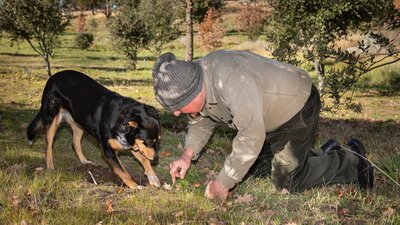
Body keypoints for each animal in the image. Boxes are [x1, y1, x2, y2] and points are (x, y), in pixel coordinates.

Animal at [26, 70, 161, 188]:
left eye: (158, 141)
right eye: (149, 141)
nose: (156, 161)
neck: (122, 120)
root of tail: (53, 76)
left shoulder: (132, 144)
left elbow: (144, 160)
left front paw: (153, 177)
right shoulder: (108, 151)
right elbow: (123, 172)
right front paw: (134, 186)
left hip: (79, 123)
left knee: (75, 144)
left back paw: (84, 161)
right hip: (52, 119)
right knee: (48, 146)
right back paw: (50, 167)